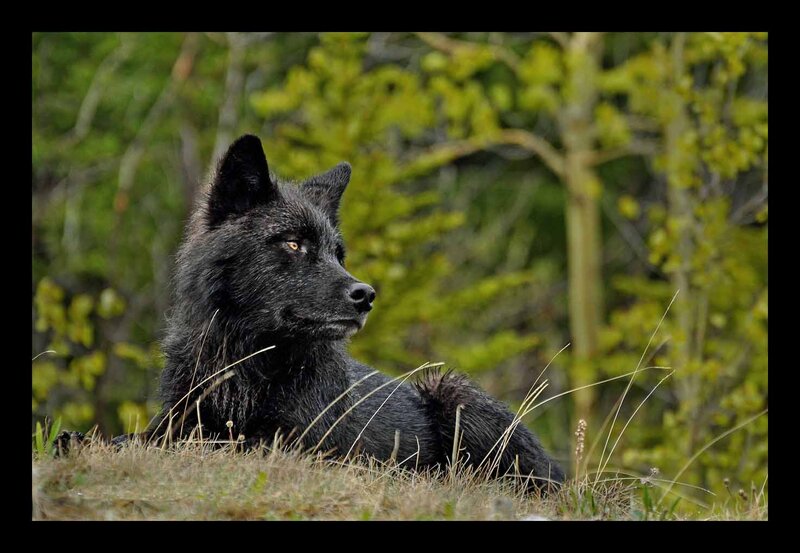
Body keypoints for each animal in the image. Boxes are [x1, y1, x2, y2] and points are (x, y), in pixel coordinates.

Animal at [58, 134, 565, 492]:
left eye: (338, 254)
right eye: (293, 244)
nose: (366, 294)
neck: (246, 364)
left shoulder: (290, 445)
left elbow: (207, 444)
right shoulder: (177, 420)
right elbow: (140, 438)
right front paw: (83, 441)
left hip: (453, 392)